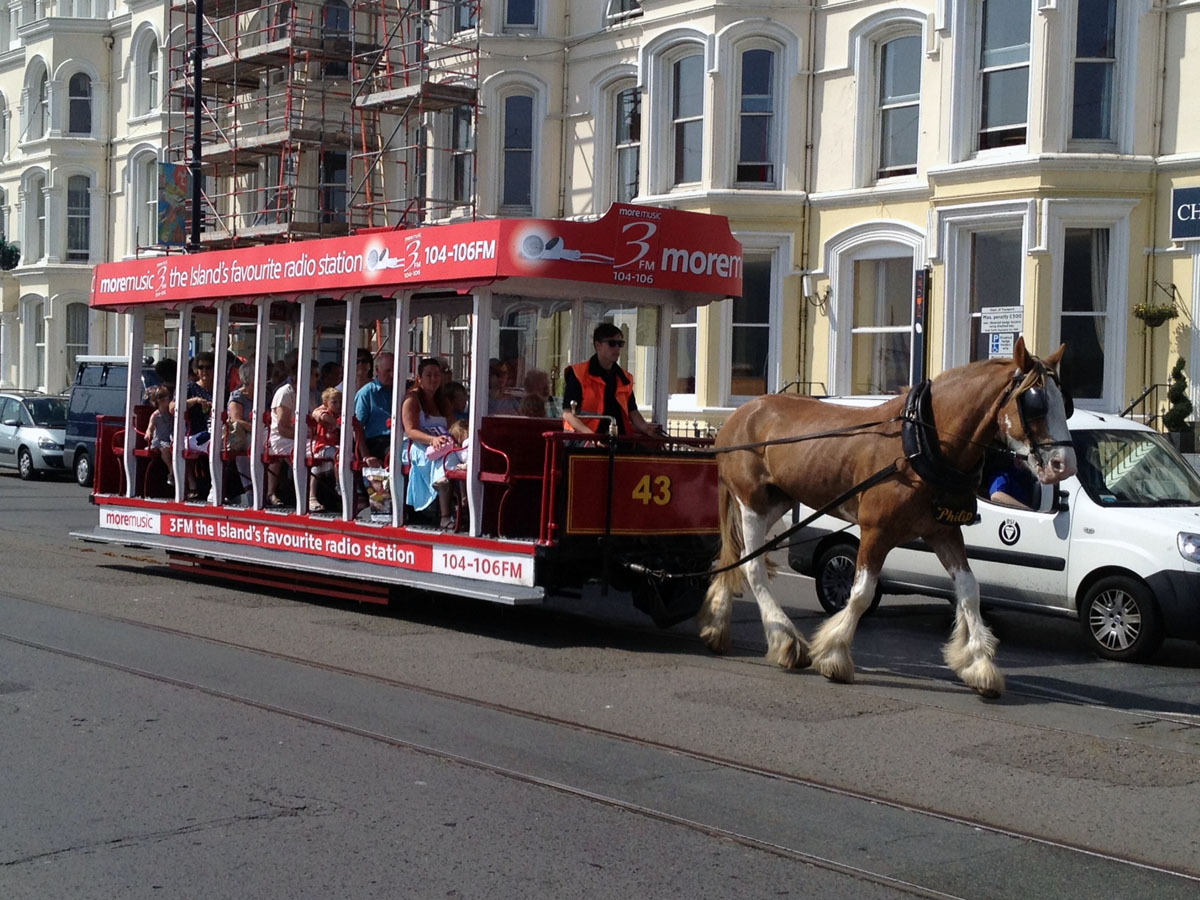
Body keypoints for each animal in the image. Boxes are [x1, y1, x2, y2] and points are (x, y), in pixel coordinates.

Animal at [700, 338, 1075, 696]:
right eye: (1035, 404)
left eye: (1065, 404)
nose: (1064, 466)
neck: (920, 445)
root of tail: (740, 415)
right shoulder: (875, 532)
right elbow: (861, 593)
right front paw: (835, 656)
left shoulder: (943, 532)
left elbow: (969, 590)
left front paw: (980, 666)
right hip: (751, 501)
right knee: (753, 567)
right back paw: (785, 641)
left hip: (776, 501)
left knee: (734, 557)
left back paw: (718, 625)